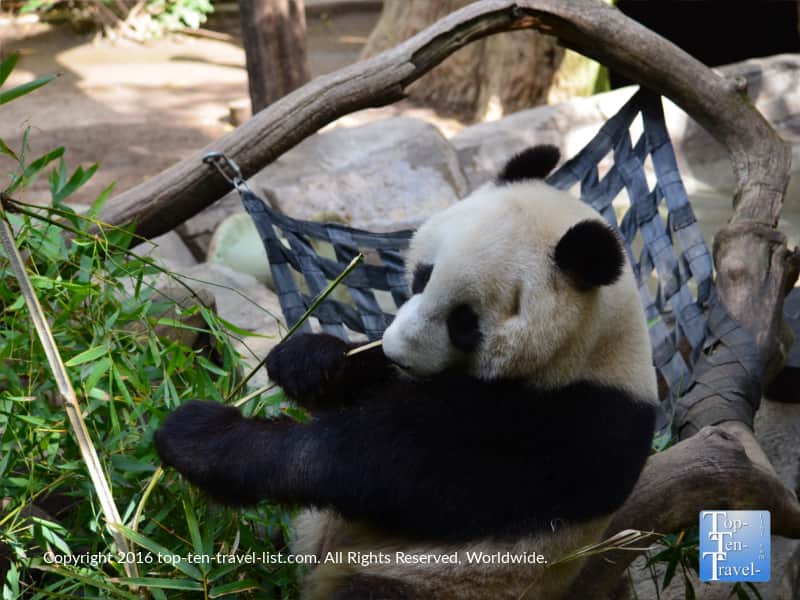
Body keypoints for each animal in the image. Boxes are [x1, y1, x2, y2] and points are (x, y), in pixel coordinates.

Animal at [155, 145, 657, 600]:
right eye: (422, 276)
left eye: (464, 323)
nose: (397, 351)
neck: (595, 348)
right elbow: (366, 385)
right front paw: (309, 360)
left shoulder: (562, 426)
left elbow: (386, 466)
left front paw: (200, 436)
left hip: (434, 580)